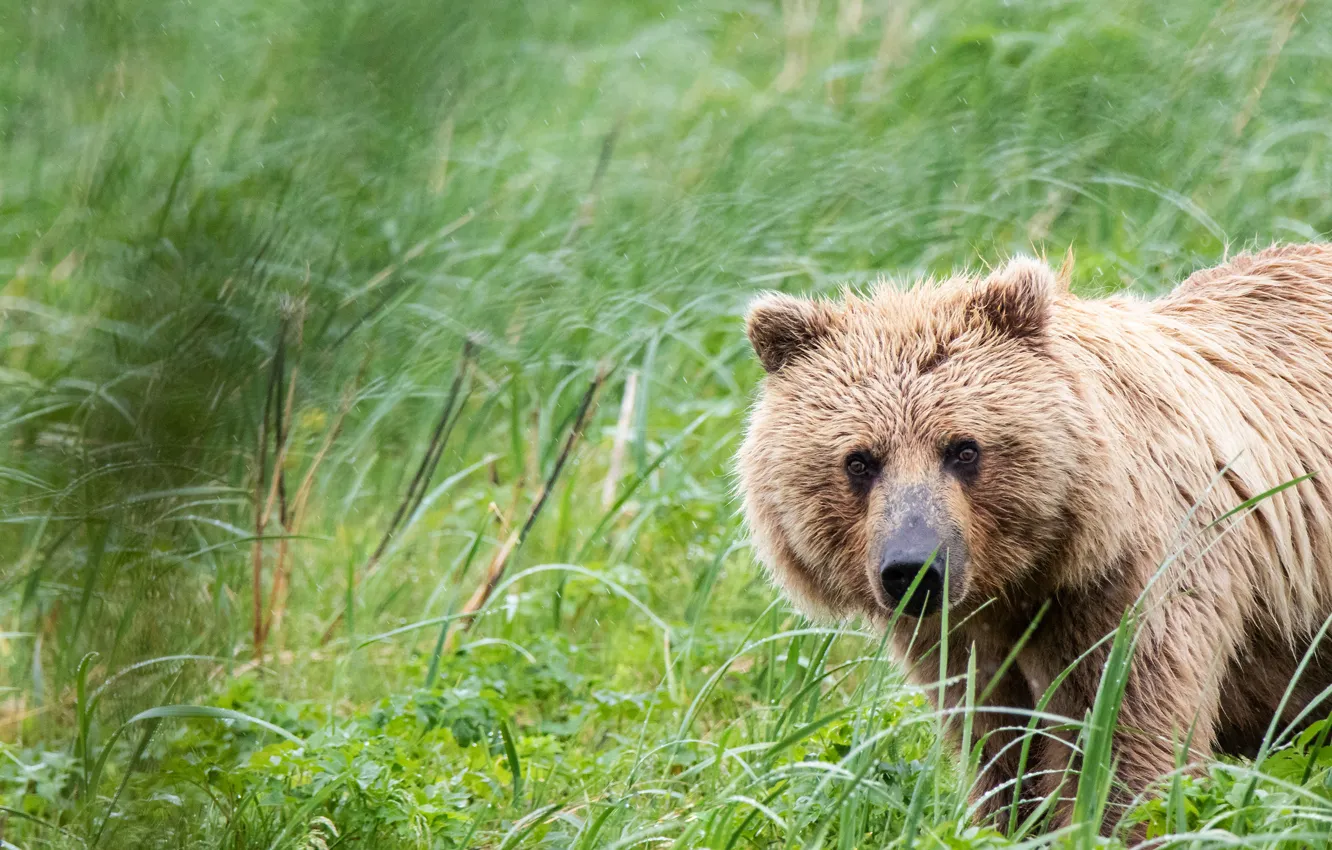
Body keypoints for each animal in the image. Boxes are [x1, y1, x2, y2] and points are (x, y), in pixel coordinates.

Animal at [737, 243, 1332, 835]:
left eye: (964, 448)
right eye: (859, 460)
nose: (914, 569)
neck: (1029, 578)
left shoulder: (1137, 585)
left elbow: (1123, 740)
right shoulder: (961, 647)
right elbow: (1000, 754)